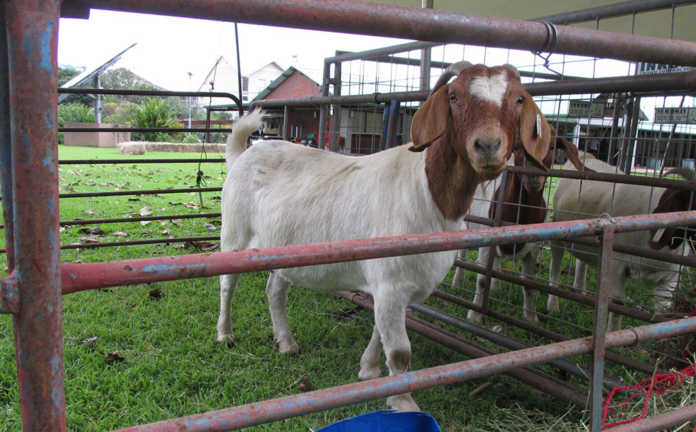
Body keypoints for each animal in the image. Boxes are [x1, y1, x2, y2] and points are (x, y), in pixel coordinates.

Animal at [217, 63, 552, 411]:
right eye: (454, 96)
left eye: (518, 99)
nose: (488, 147)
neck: (428, 194)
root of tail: (244, 153)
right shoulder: (391, 282)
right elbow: (401, 351)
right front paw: (403, 401)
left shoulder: (393, 286)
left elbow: (380, 330)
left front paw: (369, 369)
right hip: (235, 233)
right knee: (227, 283)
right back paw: (225, 334)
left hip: (284, 247)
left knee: (275, 290)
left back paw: (286, 341)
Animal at [452, 137, 586, 323]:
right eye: (519, 147)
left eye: (552, 146)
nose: (533, 176)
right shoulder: (486, 242)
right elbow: (482, 280)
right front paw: (474, 315)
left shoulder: (533, 249)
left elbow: (528, 284)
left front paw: (531, 317)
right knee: (463, 257)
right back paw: (457, 283)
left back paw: (496, 287)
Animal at [547, 154, 696, 330]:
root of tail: (586, 156)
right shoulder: (616, 266)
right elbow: (618, 305)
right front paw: (612, 333)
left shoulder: (669, 279)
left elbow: (662, 314)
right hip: (557, 232)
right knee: (555, 267)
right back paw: (553, 305)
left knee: (581, 261)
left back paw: (579, 290)